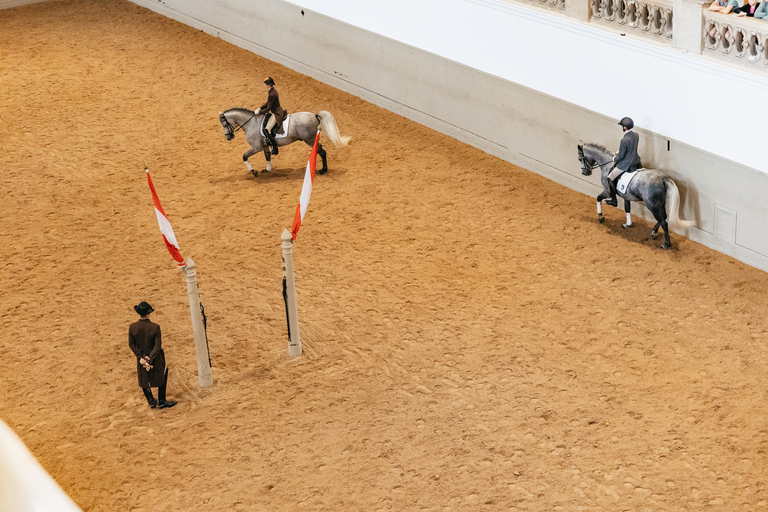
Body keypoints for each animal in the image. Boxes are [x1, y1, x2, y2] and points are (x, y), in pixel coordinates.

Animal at [219, 108, 352, 178]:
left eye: (224, 123)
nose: (229, 137)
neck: (251, 124)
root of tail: (314, 115)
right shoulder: (265, 146)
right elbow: (267, 156)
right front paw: (267, 169)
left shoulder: (256, 147)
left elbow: (244, 156)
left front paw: (254, 172)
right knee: (321, 150)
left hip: (309, 140)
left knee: (322, 152)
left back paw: (323, 170)